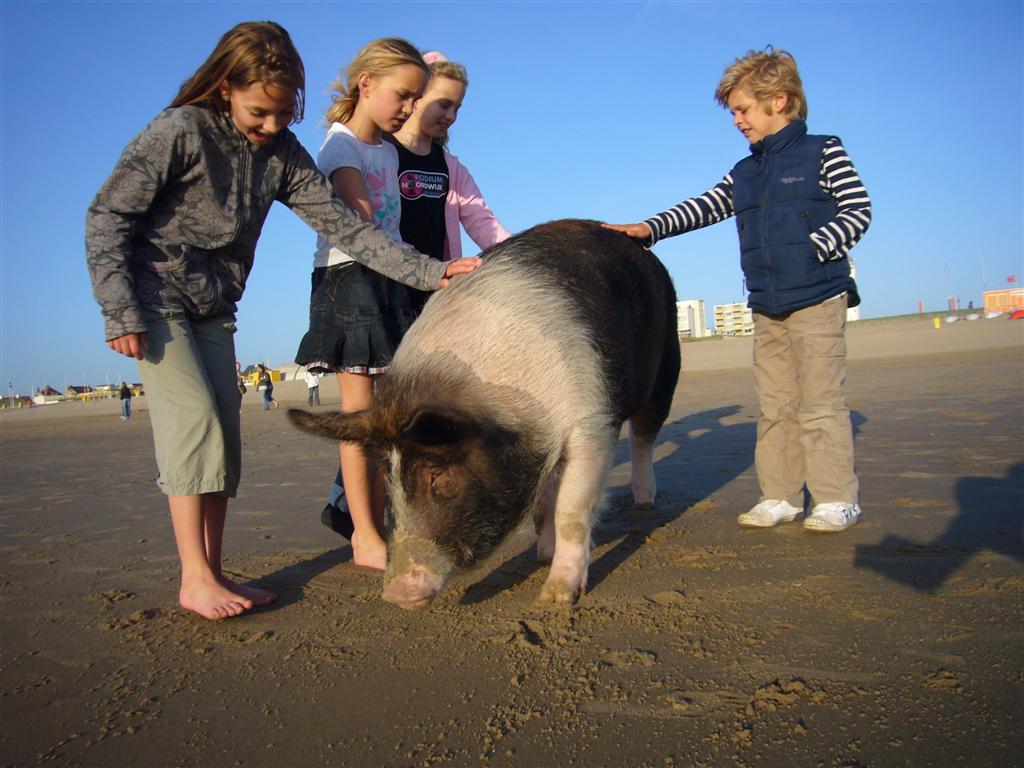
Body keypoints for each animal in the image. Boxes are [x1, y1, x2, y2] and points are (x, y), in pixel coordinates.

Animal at [288, 219, 679, 610]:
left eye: (437, 474)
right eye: (387, 476)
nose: (396, 595)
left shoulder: (592, 422)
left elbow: (570, 510)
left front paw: (554, 598)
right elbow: (543, 504)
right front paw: (541, 556)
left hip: (666, 369)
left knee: (643, 438)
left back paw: (645, 504)